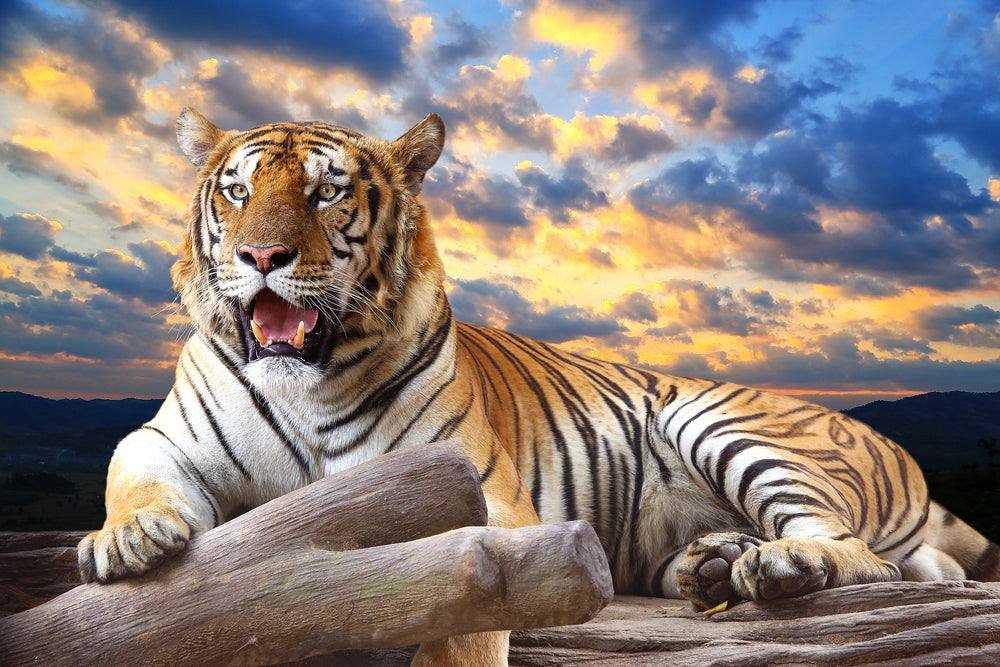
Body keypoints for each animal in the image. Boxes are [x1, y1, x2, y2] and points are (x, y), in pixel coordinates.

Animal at [78, 108, 1000, 666]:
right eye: (237, 191)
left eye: (326, 190)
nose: (260, 255)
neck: (306, 381)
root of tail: (895, 448)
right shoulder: (169, 436)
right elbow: (137, 472)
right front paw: (127, 540)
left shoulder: (482, 506)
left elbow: (460, 608)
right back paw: (714, 565)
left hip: (722, 421)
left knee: (867, 556)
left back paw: (777, 564)